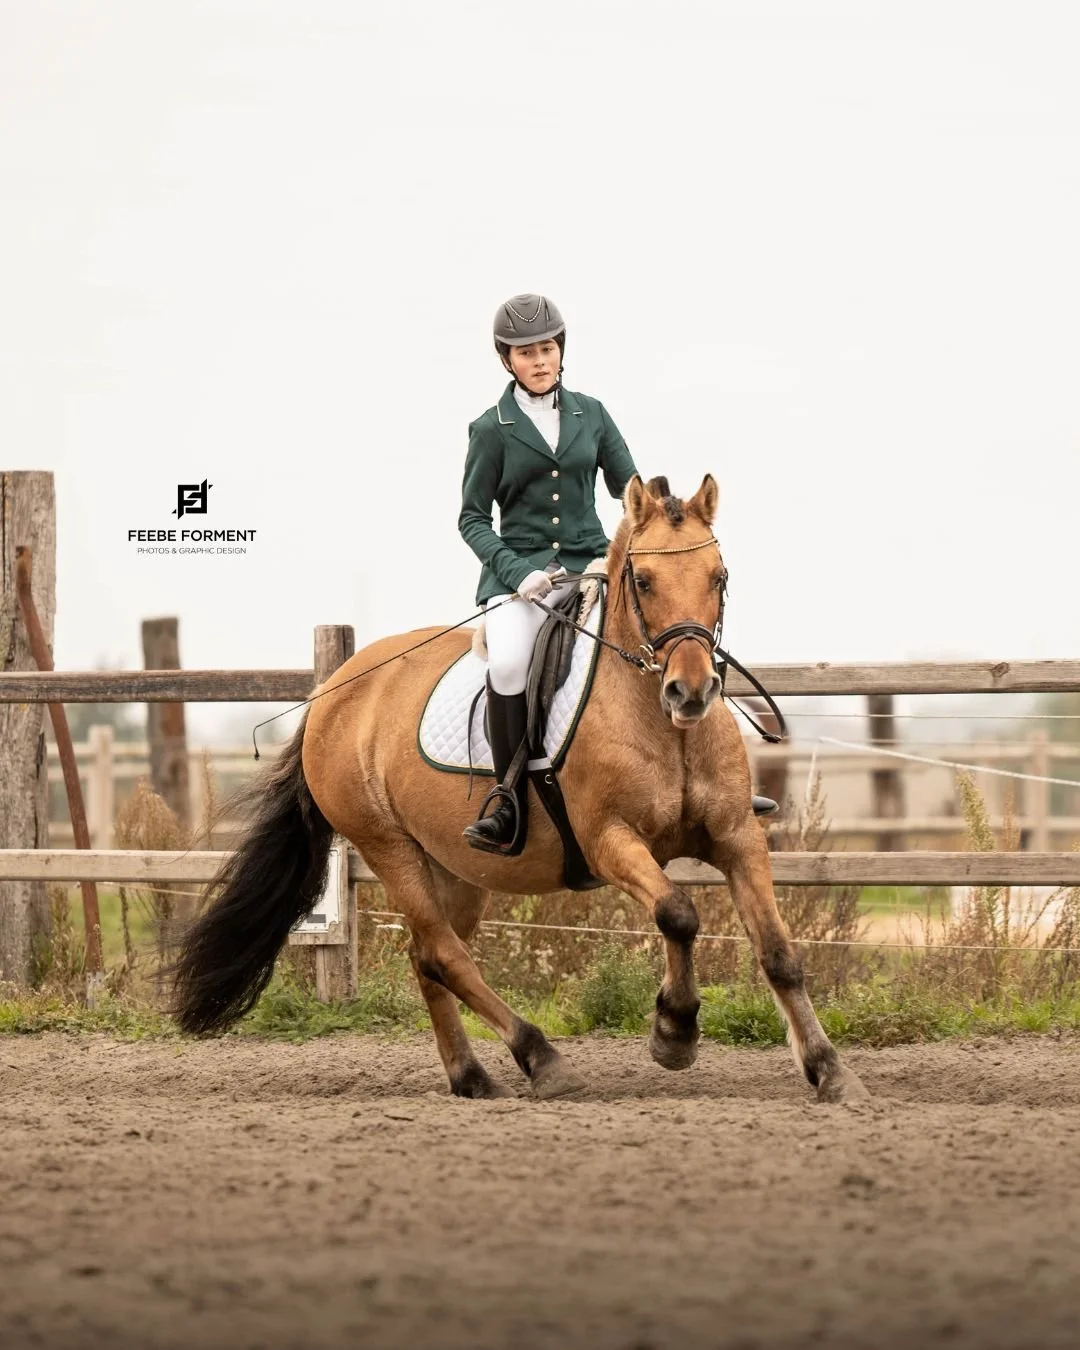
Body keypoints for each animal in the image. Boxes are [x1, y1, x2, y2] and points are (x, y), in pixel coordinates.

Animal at [173, 473, 867, 1105]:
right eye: (643, 582)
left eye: (718, 577)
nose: (690, 693)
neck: (663, 726)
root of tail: (334, 689)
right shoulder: (609, 841)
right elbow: (678, 912)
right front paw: (674, 1032)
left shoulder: (736, 836)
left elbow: (778, 952)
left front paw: (829, 1070)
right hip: (388, 847)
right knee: (447, 955)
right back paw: (542, 1059)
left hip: (456, 866)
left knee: (429, 955)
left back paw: (471, 1077)